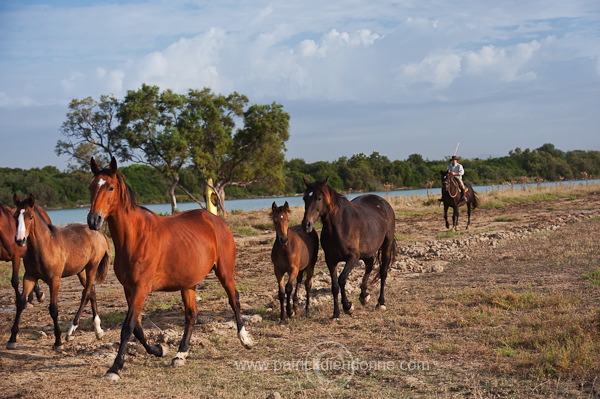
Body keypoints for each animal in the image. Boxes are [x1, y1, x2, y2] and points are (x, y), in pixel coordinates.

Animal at [6, 195, 110, 352]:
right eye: (15, 216)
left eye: (30, 217)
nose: (20, 240)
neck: (44, 247)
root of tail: (99, 233)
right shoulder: (29, 277)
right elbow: (21, 303)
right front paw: (12, 340)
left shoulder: (54, 280)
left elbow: (54, 309)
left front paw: (58, 342)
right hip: (81, 271)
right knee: (91, 291)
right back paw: (98, 330)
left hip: (92, 267)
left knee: (86, 294)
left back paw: (70, 331)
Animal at [87, 158, 253, 382]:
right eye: (91, 187)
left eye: (110, 187)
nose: (93, 220)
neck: (135, 237)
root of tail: (216, 220)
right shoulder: (129, 289)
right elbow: (137, 327)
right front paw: (159, 349)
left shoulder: (141, 289)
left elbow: (128, 327)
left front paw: (115, 368)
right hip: (188, 284)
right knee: (191, 315)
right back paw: (180, 354)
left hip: (225, 272)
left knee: (234, 299)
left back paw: (245, 340)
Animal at [302, 180, 396, 320]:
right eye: (304, 198)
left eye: (318, 198)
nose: (306, 224)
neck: (340, 227)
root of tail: (384, 203)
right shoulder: (330, 260)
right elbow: (334, 286)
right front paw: (336, 314)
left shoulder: (353, 258)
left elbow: (342, 279)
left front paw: (347, 306)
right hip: (366, 252)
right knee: (369, 265)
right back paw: (364, 296)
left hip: (386, 246)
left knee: (383, 272)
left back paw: (381, 303)